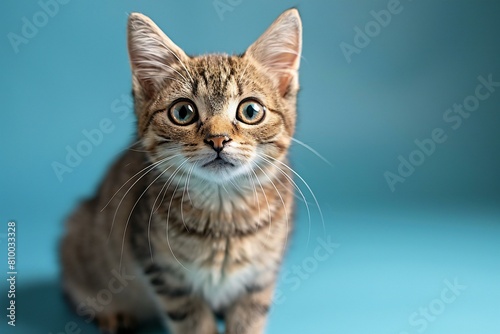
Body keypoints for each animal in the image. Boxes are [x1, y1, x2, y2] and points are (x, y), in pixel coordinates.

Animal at [58, 8, 300, 334]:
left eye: (250, 111)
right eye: (183, 112)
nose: (218, 139)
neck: (223, 217)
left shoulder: (262, 274)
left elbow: (249, 317)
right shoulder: (163, 271)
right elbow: (192, 320)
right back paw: (112, 313)